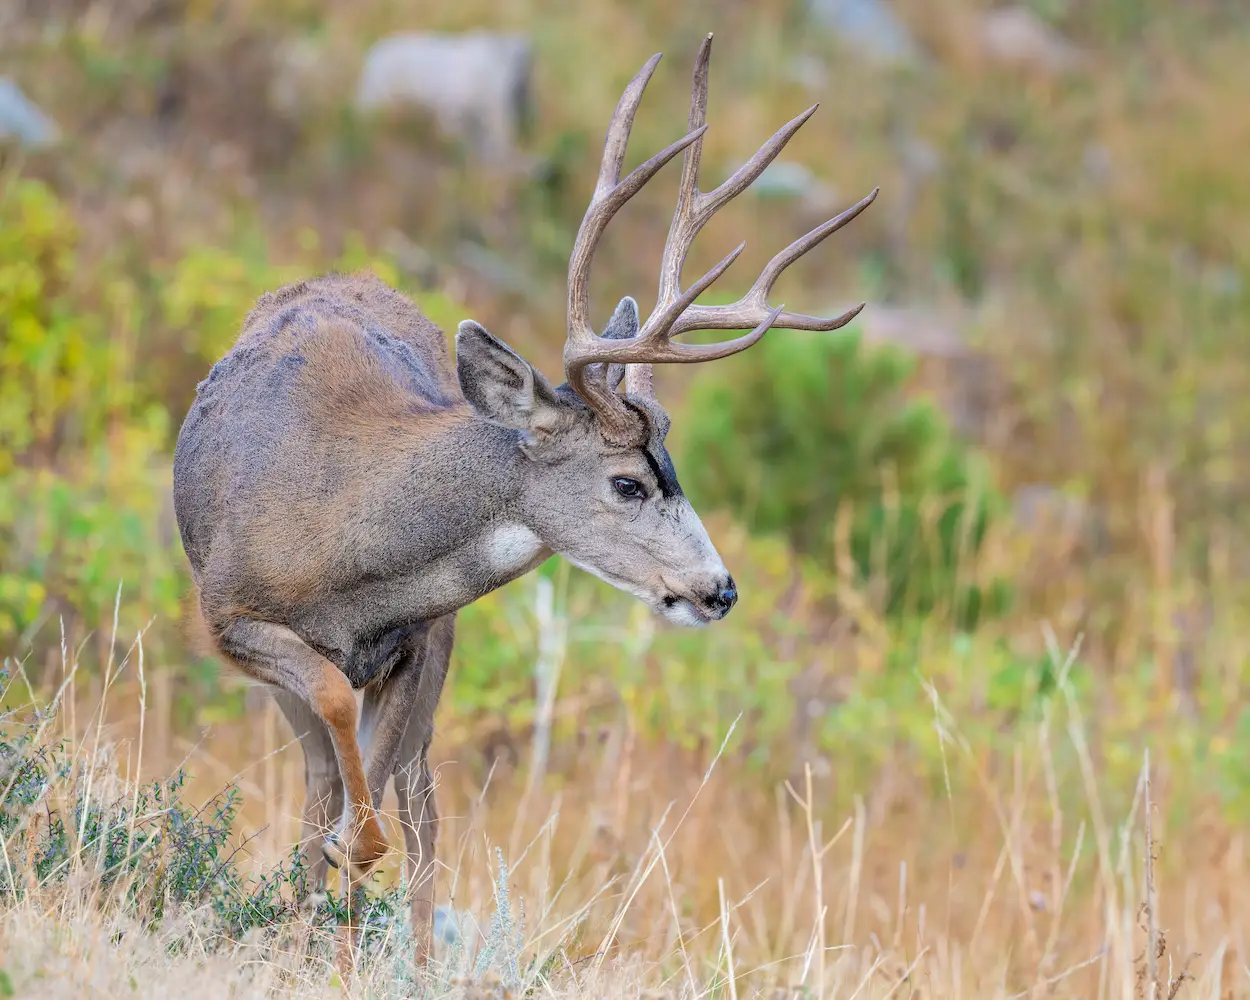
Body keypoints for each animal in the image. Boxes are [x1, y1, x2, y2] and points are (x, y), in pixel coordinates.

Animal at [171, 33, 876, 968]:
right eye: (627, 481)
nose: (719, 589)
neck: (346, 541)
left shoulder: (422, 638)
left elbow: (388, 794)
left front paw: (357, 916)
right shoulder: (229, 615)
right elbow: (334, 724)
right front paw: (330, 894)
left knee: (416, 796)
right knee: (329, 774)